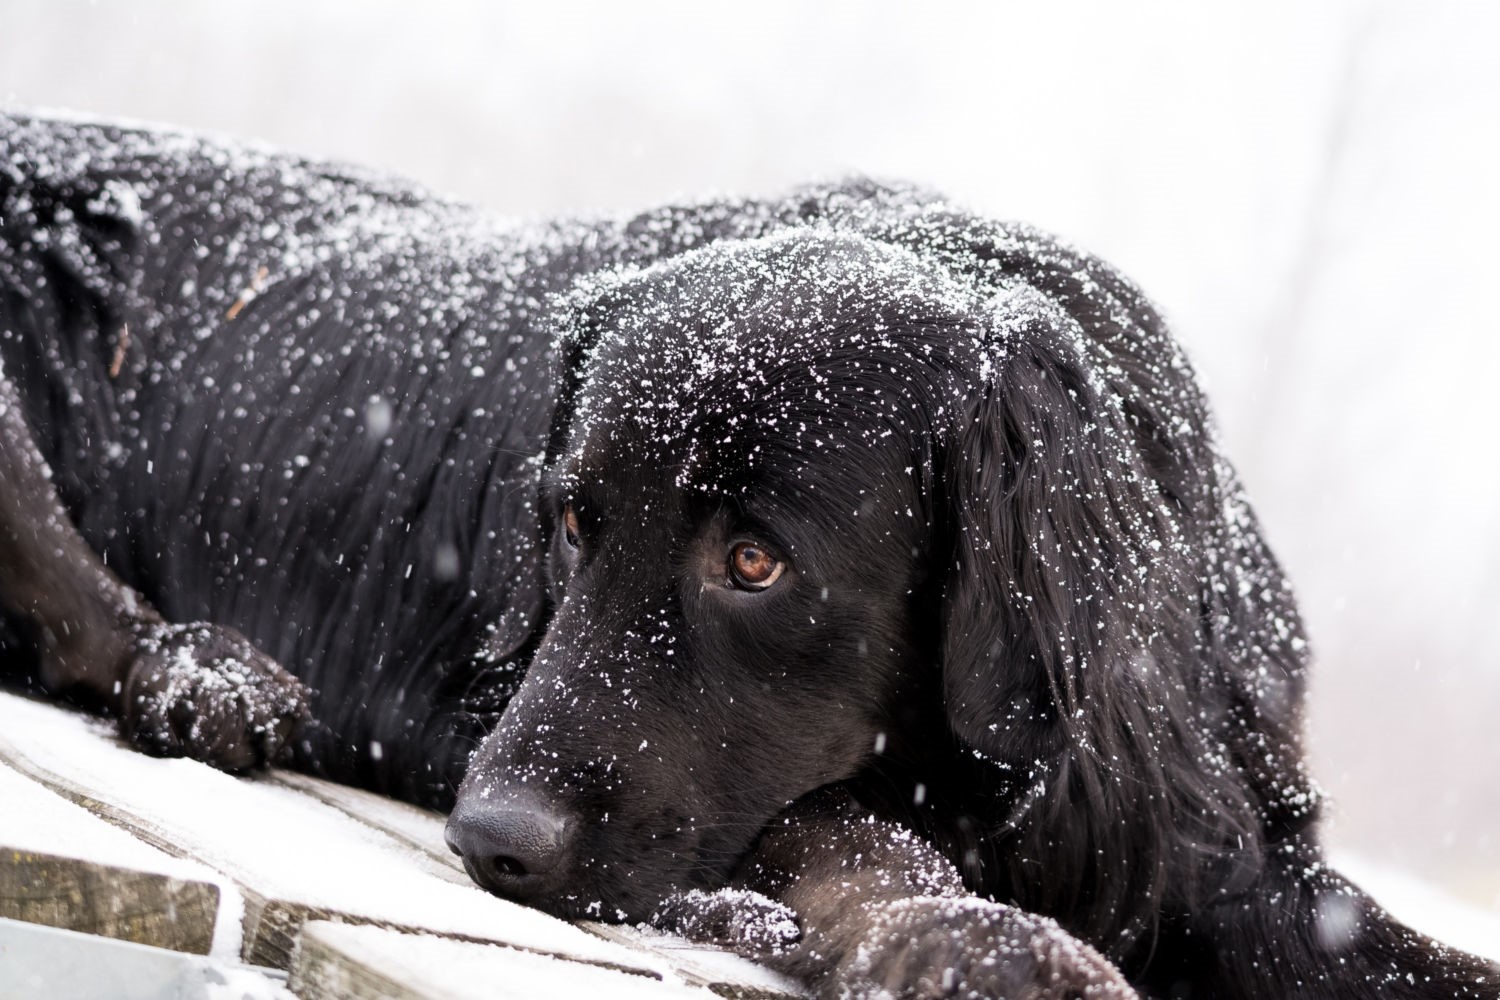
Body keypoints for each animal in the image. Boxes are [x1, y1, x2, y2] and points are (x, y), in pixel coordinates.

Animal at [0, 113, 1494, 995]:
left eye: (757, 563)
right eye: (573, 523)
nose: (491, 839)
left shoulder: (1208, 842)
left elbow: (1376, 937)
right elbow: (851, 836)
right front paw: (970, 935)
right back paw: (200, 672)